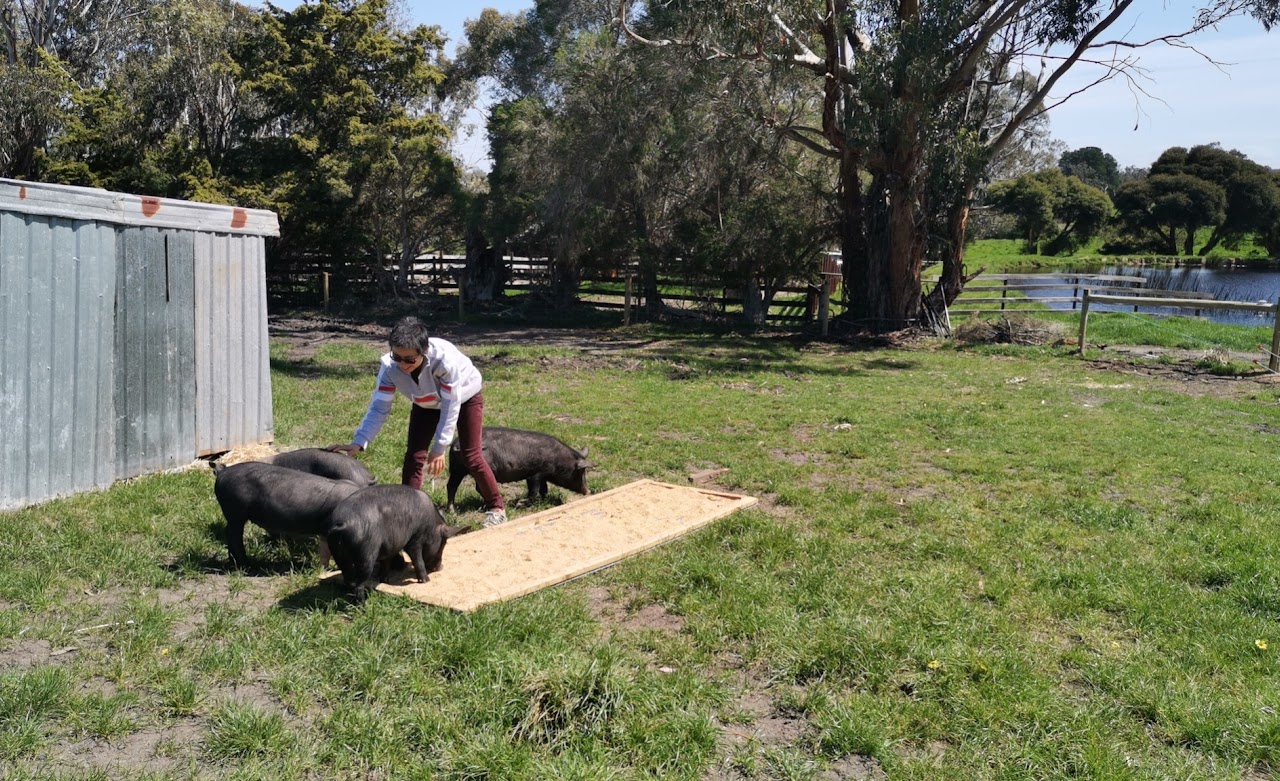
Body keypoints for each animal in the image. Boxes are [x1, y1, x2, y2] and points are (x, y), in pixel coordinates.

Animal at [325, 485, 467, 604]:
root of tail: (342, 523)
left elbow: (386, 562)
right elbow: (417, 559)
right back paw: (363, 606)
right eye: (443, 542)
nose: (440, 567)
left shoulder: (389, 546)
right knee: (358, 583)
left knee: (348, 578)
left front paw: (384, 580)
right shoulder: (415, 538)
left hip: (338, 552)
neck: (431, 525)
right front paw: (426, 581)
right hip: (365, 554)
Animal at [446, 427, 592, 512]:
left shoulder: (542, 475)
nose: (588, 491)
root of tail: (455, 444)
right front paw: (519, 504)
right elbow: (534, 491)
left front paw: (543, 500)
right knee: (475, 487)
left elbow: (544, 490)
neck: (558, 459)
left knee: (452, 485)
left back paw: (453, 510)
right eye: (579, 472)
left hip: (456, 468)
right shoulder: (534, 474)